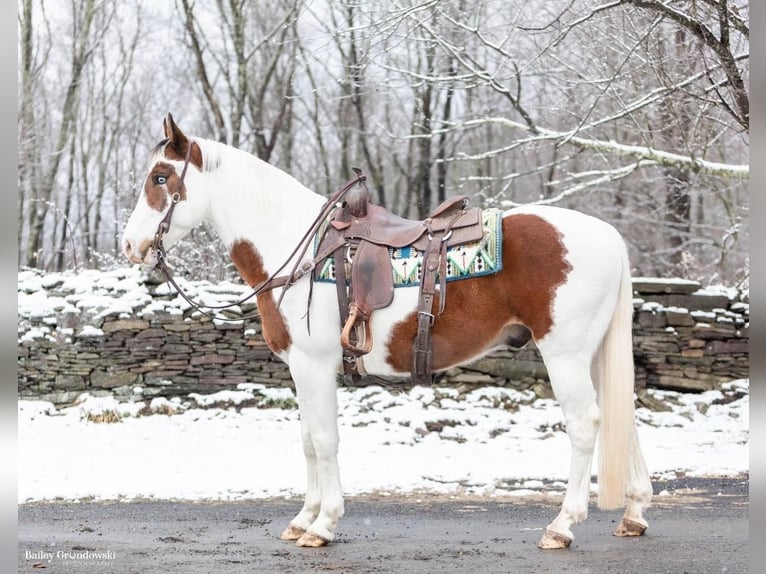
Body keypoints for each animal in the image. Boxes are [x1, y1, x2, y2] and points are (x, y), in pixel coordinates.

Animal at [123, 115, 652, 552]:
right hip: (594, 355)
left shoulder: (314, 368)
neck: (301, 250)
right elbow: (308, 441)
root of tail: (608, 236)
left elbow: (324, 440)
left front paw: (323, 525)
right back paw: (633, 513)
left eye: (161, 177)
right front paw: (303, 518)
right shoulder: (301, 372)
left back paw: (562, 526)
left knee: (585, 425)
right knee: (623, 419)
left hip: (565, 355)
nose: (130, 244)